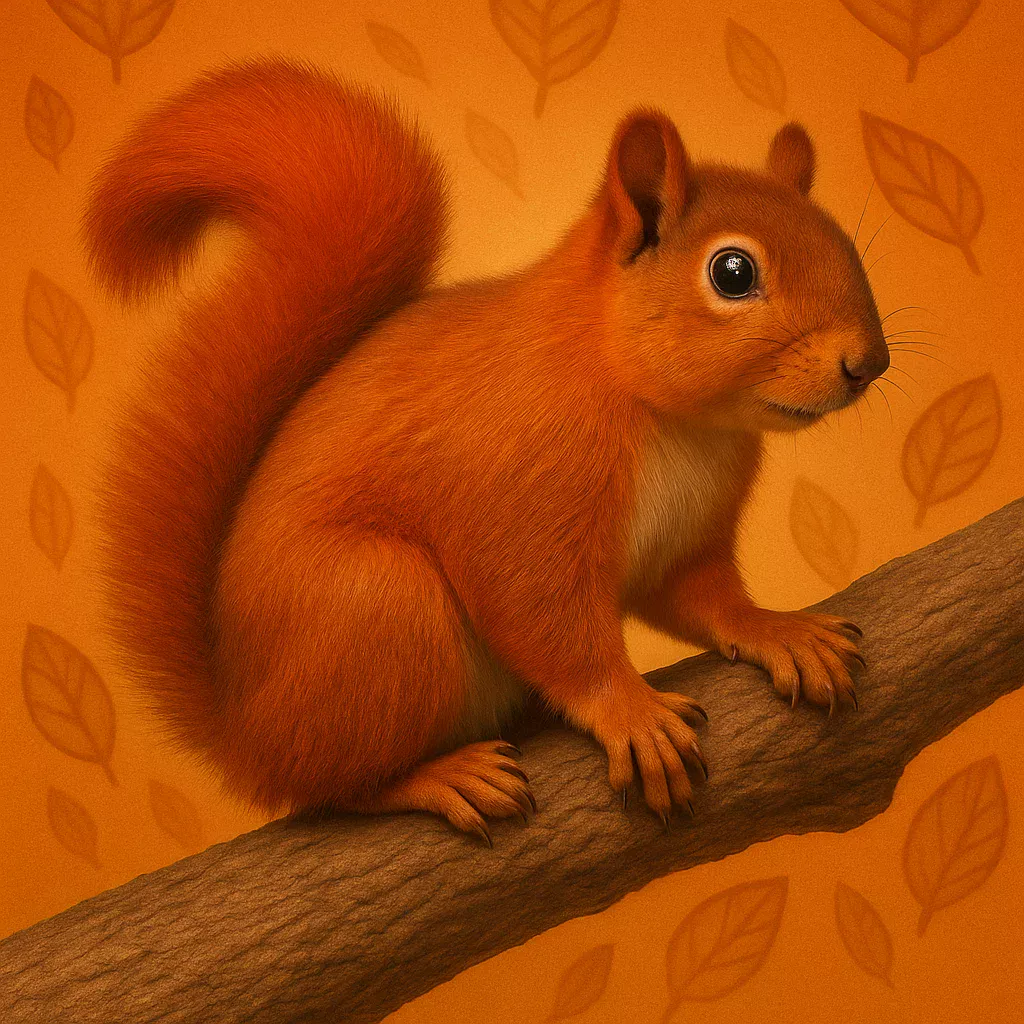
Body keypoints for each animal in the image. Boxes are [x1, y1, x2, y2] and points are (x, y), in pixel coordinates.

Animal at [85, 58, 888, 842]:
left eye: (844, 241)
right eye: (732, 272)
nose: (869, 364)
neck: (676, 420)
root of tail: (245, 731)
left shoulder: (686, 540)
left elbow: (706, 599)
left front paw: (777, 631)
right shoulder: (521, 501)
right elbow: (548, 624)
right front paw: (631, 712)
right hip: (378, 607)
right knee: (330, 789)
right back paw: (436, 777)